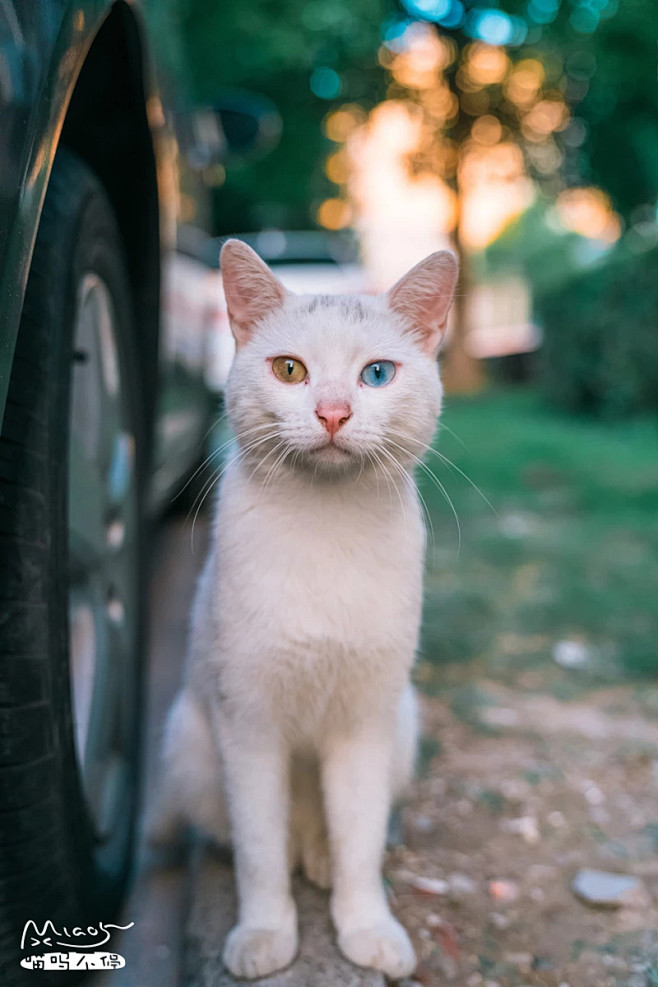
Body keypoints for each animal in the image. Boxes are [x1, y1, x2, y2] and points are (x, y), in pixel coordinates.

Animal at [151, 239, 456, 980]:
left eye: (377, 374)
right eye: (290, 370)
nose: (334, 413)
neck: (327, 529)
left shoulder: (365, 724)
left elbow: (360, 839)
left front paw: (365, 925)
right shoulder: (249, 724)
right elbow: (260, 846)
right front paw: (265, 934)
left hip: (403, 722)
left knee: (328, 829)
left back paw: (317, 857)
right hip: (193, 742)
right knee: (239, 831)